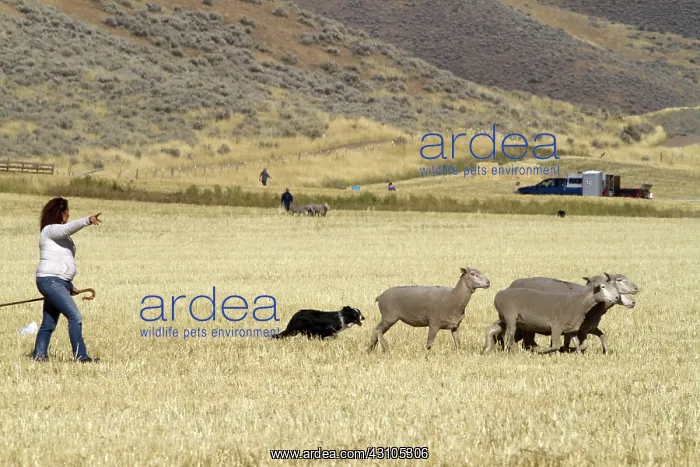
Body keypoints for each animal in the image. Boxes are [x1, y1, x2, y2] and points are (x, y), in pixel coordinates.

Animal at [494, 273, 638, 353]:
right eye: (619, 280)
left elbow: (600, 336)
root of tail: (512, 284)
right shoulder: (581, 329)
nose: (636, 289)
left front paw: (605, 351)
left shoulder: (587, 328)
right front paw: (566, 350)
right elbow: (580, 344)